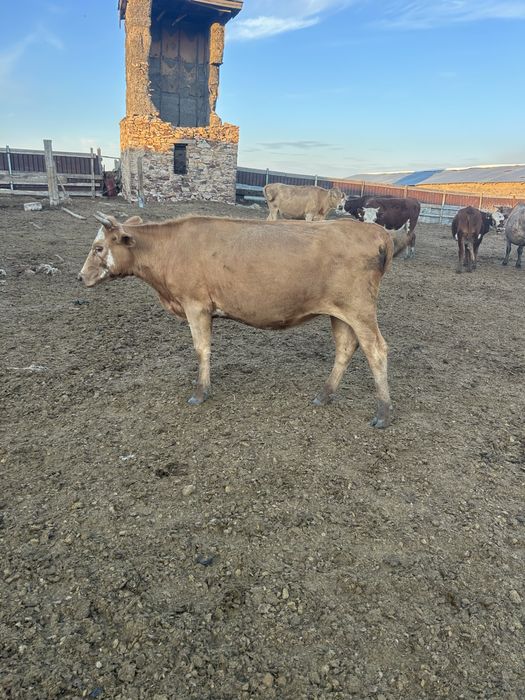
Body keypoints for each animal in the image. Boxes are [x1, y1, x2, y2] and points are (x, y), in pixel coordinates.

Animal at [78, 212, 413, 428]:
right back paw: (324, 395)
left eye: (98, 247)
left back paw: (383, 413)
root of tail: (375, 232)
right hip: (340, 312)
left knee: (376, 350)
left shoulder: (195, 304)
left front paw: (200, 393)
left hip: (360, 309)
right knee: (345, 347)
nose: (81, 277)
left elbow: (201, 349)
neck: (170, 247)